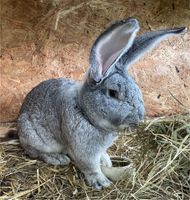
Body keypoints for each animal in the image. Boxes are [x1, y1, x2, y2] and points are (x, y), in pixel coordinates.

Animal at [17, 17, 186, 189]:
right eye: (113, 93)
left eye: (137, 88)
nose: (139, 118)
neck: (85, 112)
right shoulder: (84, 152)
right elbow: (91, 167)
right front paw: (101, 182)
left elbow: (101, 157)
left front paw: (107, 162)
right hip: (34, 137)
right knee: (35, 152)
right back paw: (58, 158)